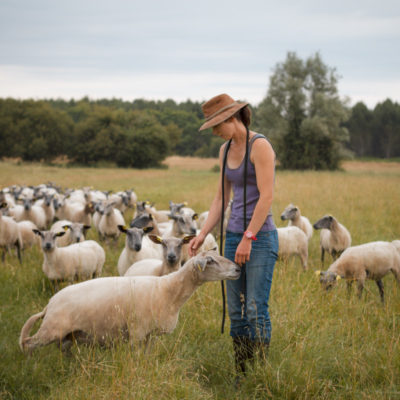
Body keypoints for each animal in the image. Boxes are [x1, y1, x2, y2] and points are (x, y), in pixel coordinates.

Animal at [19, 250, 241, 354]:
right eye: (211, 261)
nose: (238, 269)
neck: (167, 290)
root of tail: (50, 304)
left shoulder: (150, 335)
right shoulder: (137, 332)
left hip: (67, 335)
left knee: (63, 348)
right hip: (51, 329)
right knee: (28, 343)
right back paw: (30, 364)